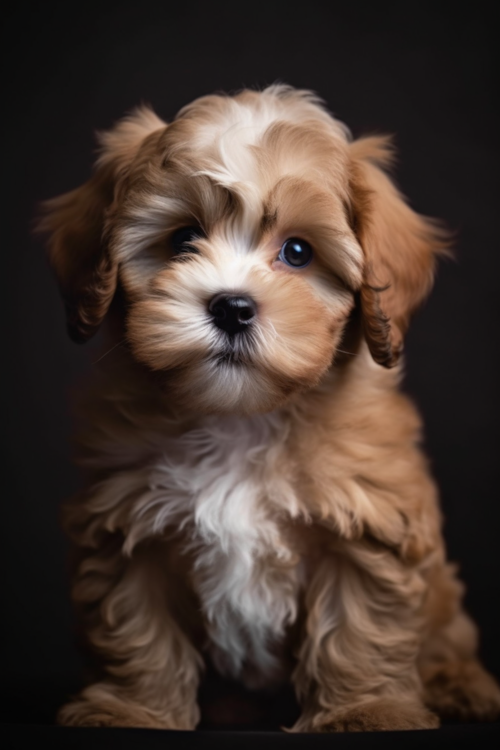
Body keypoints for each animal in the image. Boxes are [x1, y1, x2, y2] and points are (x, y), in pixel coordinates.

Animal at [38, 85, 500, 732]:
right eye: (183, 240)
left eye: (298, 251)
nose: (232, 307)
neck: (243, 418)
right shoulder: (126, 526)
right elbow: (136, 629)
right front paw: (129, 711)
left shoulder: (365, 522)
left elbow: (356, 626)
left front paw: (366, 711)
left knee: (446, 639)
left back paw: (461, 684)